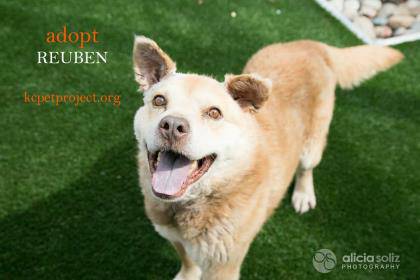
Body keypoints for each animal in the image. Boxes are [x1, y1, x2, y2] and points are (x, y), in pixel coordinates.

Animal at [133, 36, 402, 278]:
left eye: (214, 113)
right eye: (159, 100)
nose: (172, 126)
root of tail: (312, 44)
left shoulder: (224, 265)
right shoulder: (174, 237)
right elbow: (188, 261)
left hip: (312, 145)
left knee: (307, 168)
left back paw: (303, 194)